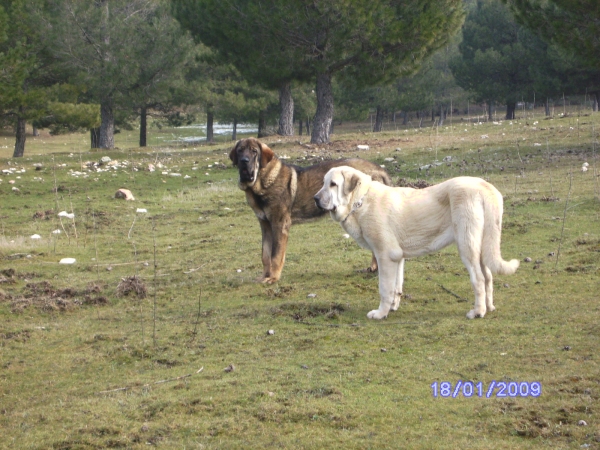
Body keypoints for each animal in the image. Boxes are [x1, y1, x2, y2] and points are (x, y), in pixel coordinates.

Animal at [231, 139, 394, 284]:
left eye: (254, 151)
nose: (244, 161)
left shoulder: (279, 224)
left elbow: (276, 256)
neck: (262, 181)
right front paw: (264, 276)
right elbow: (265, 255)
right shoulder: (265, 225)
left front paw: (273, 278)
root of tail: (379, 169)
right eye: (240, 151)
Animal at [314, 166, 520, 320]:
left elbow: (384, 289)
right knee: (488, 277)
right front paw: (393, 307)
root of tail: (484, 186)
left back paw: (477, 312)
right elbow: (396, 286)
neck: (361, 201)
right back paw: (489, 307)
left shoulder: (384, 256)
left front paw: (380, 313)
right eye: (323, 183)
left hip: (467, 246)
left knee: (478, 278)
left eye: (333, 184)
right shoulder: (397, 257)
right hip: (482, 248)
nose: (315, 198)